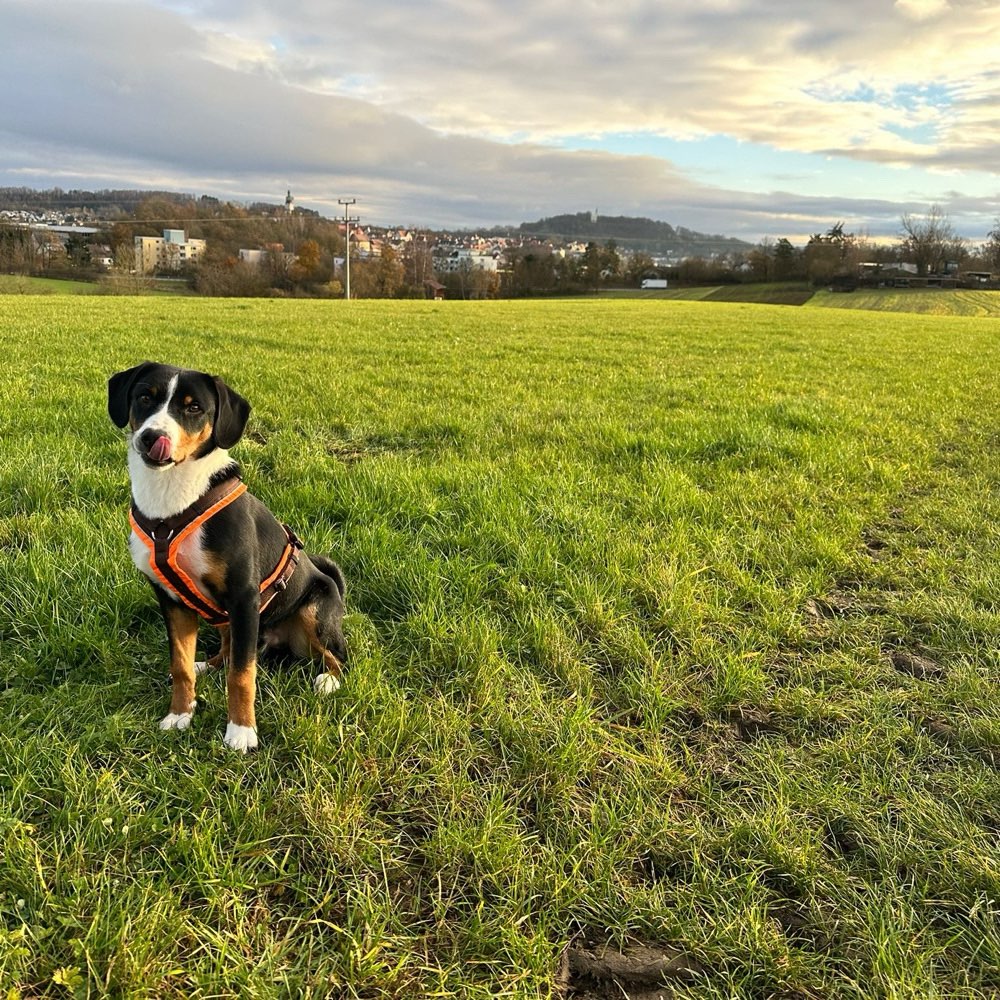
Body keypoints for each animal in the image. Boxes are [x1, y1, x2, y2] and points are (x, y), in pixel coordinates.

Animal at [108, 364, 350, 752]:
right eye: (145, 396)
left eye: (194, 408)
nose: (151, 437)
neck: (172, 502)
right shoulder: (172, 601)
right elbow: (180, 666)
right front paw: (180, 714)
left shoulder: (243, 597)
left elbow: (242, 674)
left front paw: (241, 731)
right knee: (228, 647)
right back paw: (207, 664)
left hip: (315, 612)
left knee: (337, 655)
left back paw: (328, 680)